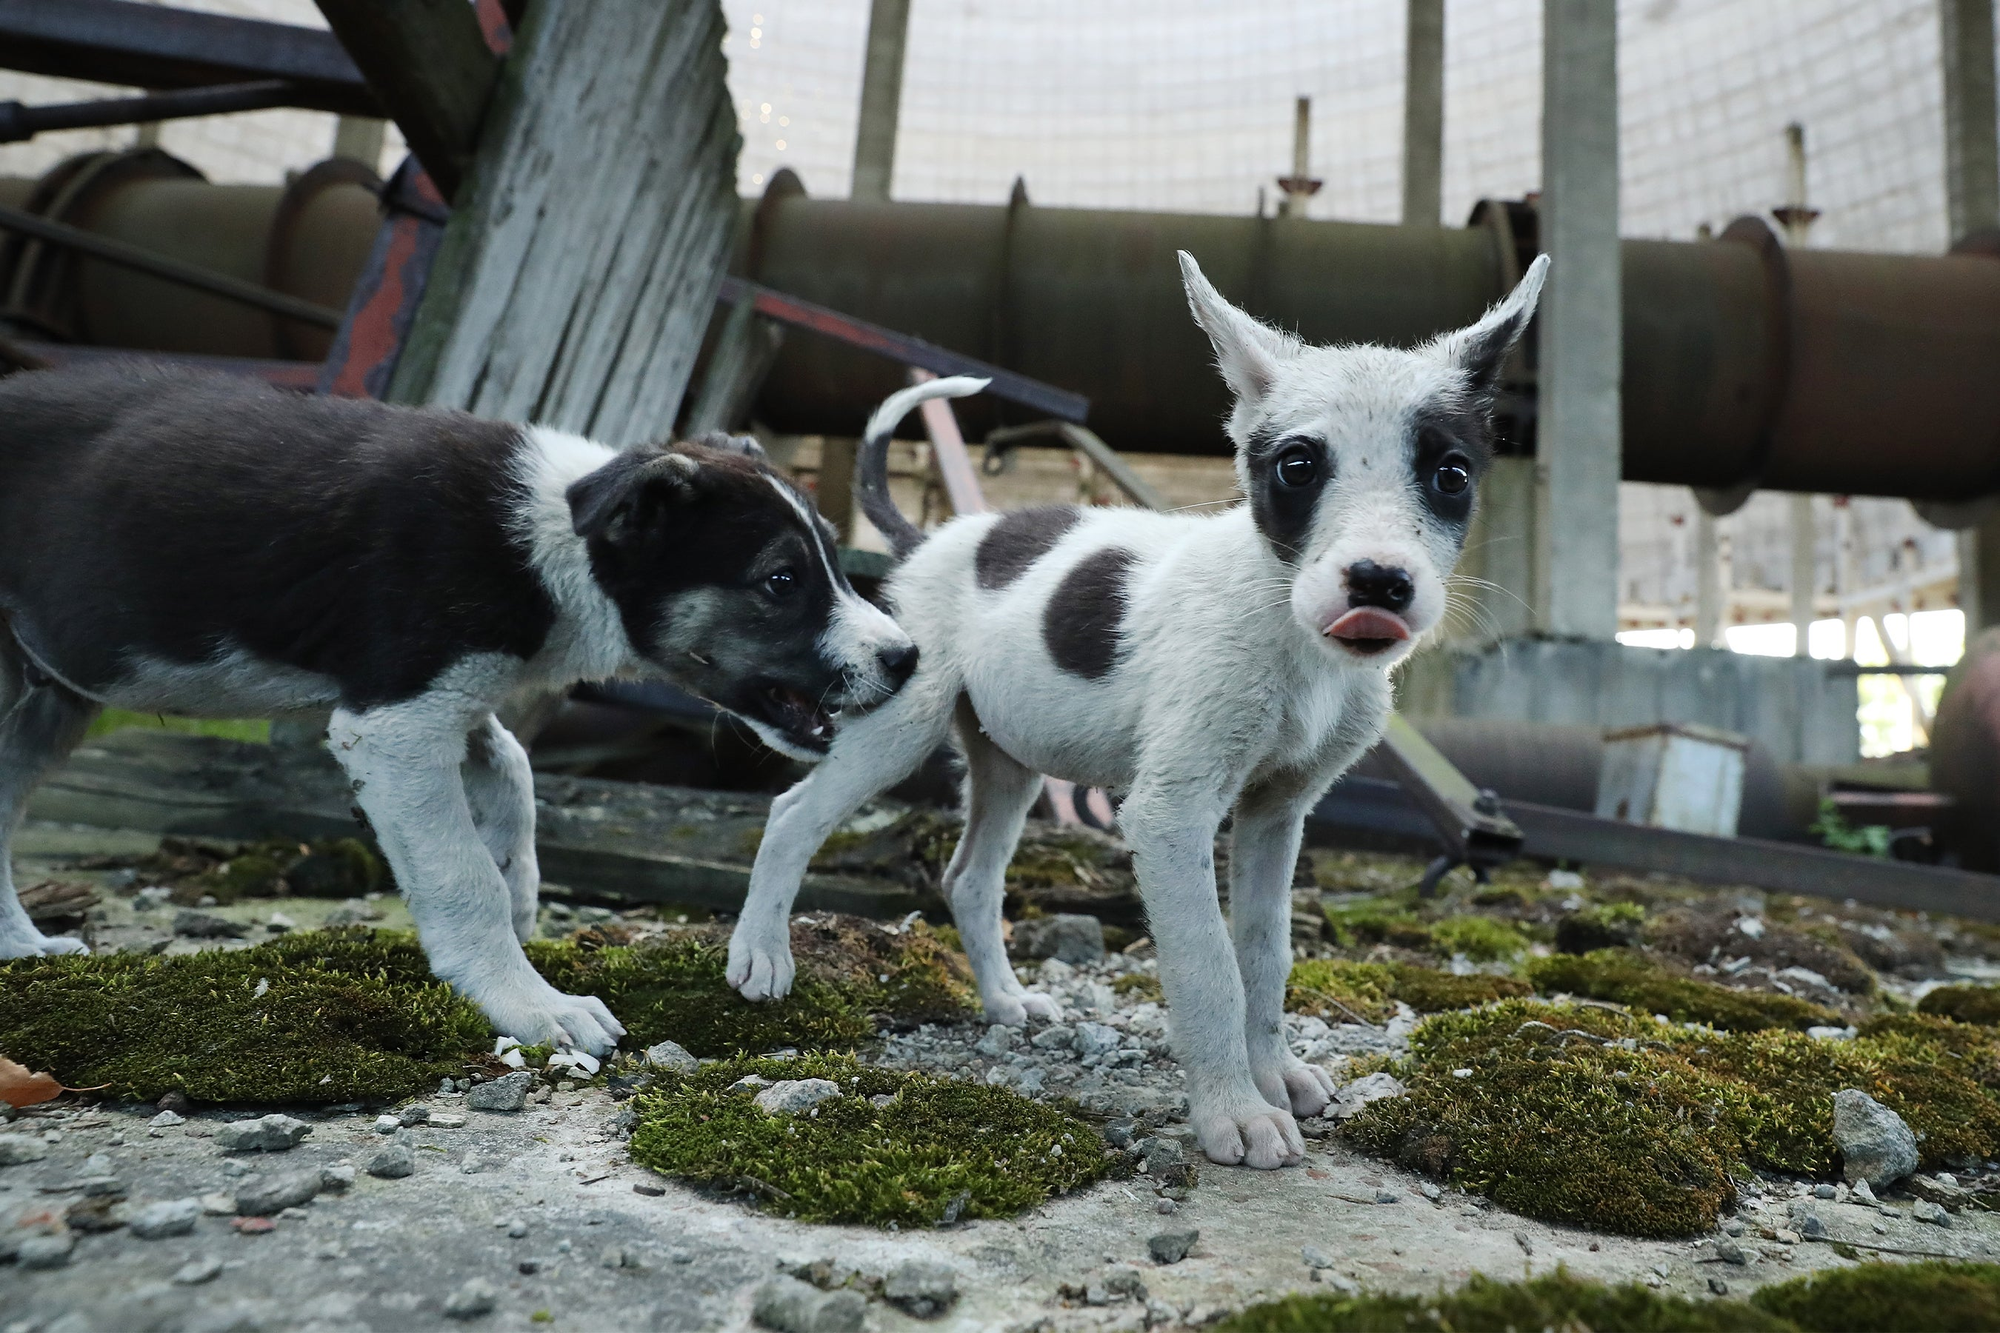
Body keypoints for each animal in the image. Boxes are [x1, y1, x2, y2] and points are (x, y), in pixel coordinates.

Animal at [1, 364, 916, 1048]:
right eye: (781, 580)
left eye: (833, 562)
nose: (907, 659)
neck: (556, 541)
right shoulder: (394, 720)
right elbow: (459, 871)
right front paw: (530, 1001)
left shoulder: (447, 695)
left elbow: (511, 767)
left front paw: (522, 889)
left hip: (44, 695)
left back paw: (22, 946)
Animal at [728, 249, 1552, 1160]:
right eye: (1298, 466)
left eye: (1451, 473)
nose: (1378, 583)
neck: (1291, 635)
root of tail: (930, 538)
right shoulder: (1170, 813)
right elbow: (1208, 966)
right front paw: (1234, 1110)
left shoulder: (1277, 814)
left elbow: (1264, 954)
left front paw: (1275, 1073)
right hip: (900, 724)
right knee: (793, 813)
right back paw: (761, 953)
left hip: (1008, 760)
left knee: (970, 877)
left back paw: (1005, 1001)